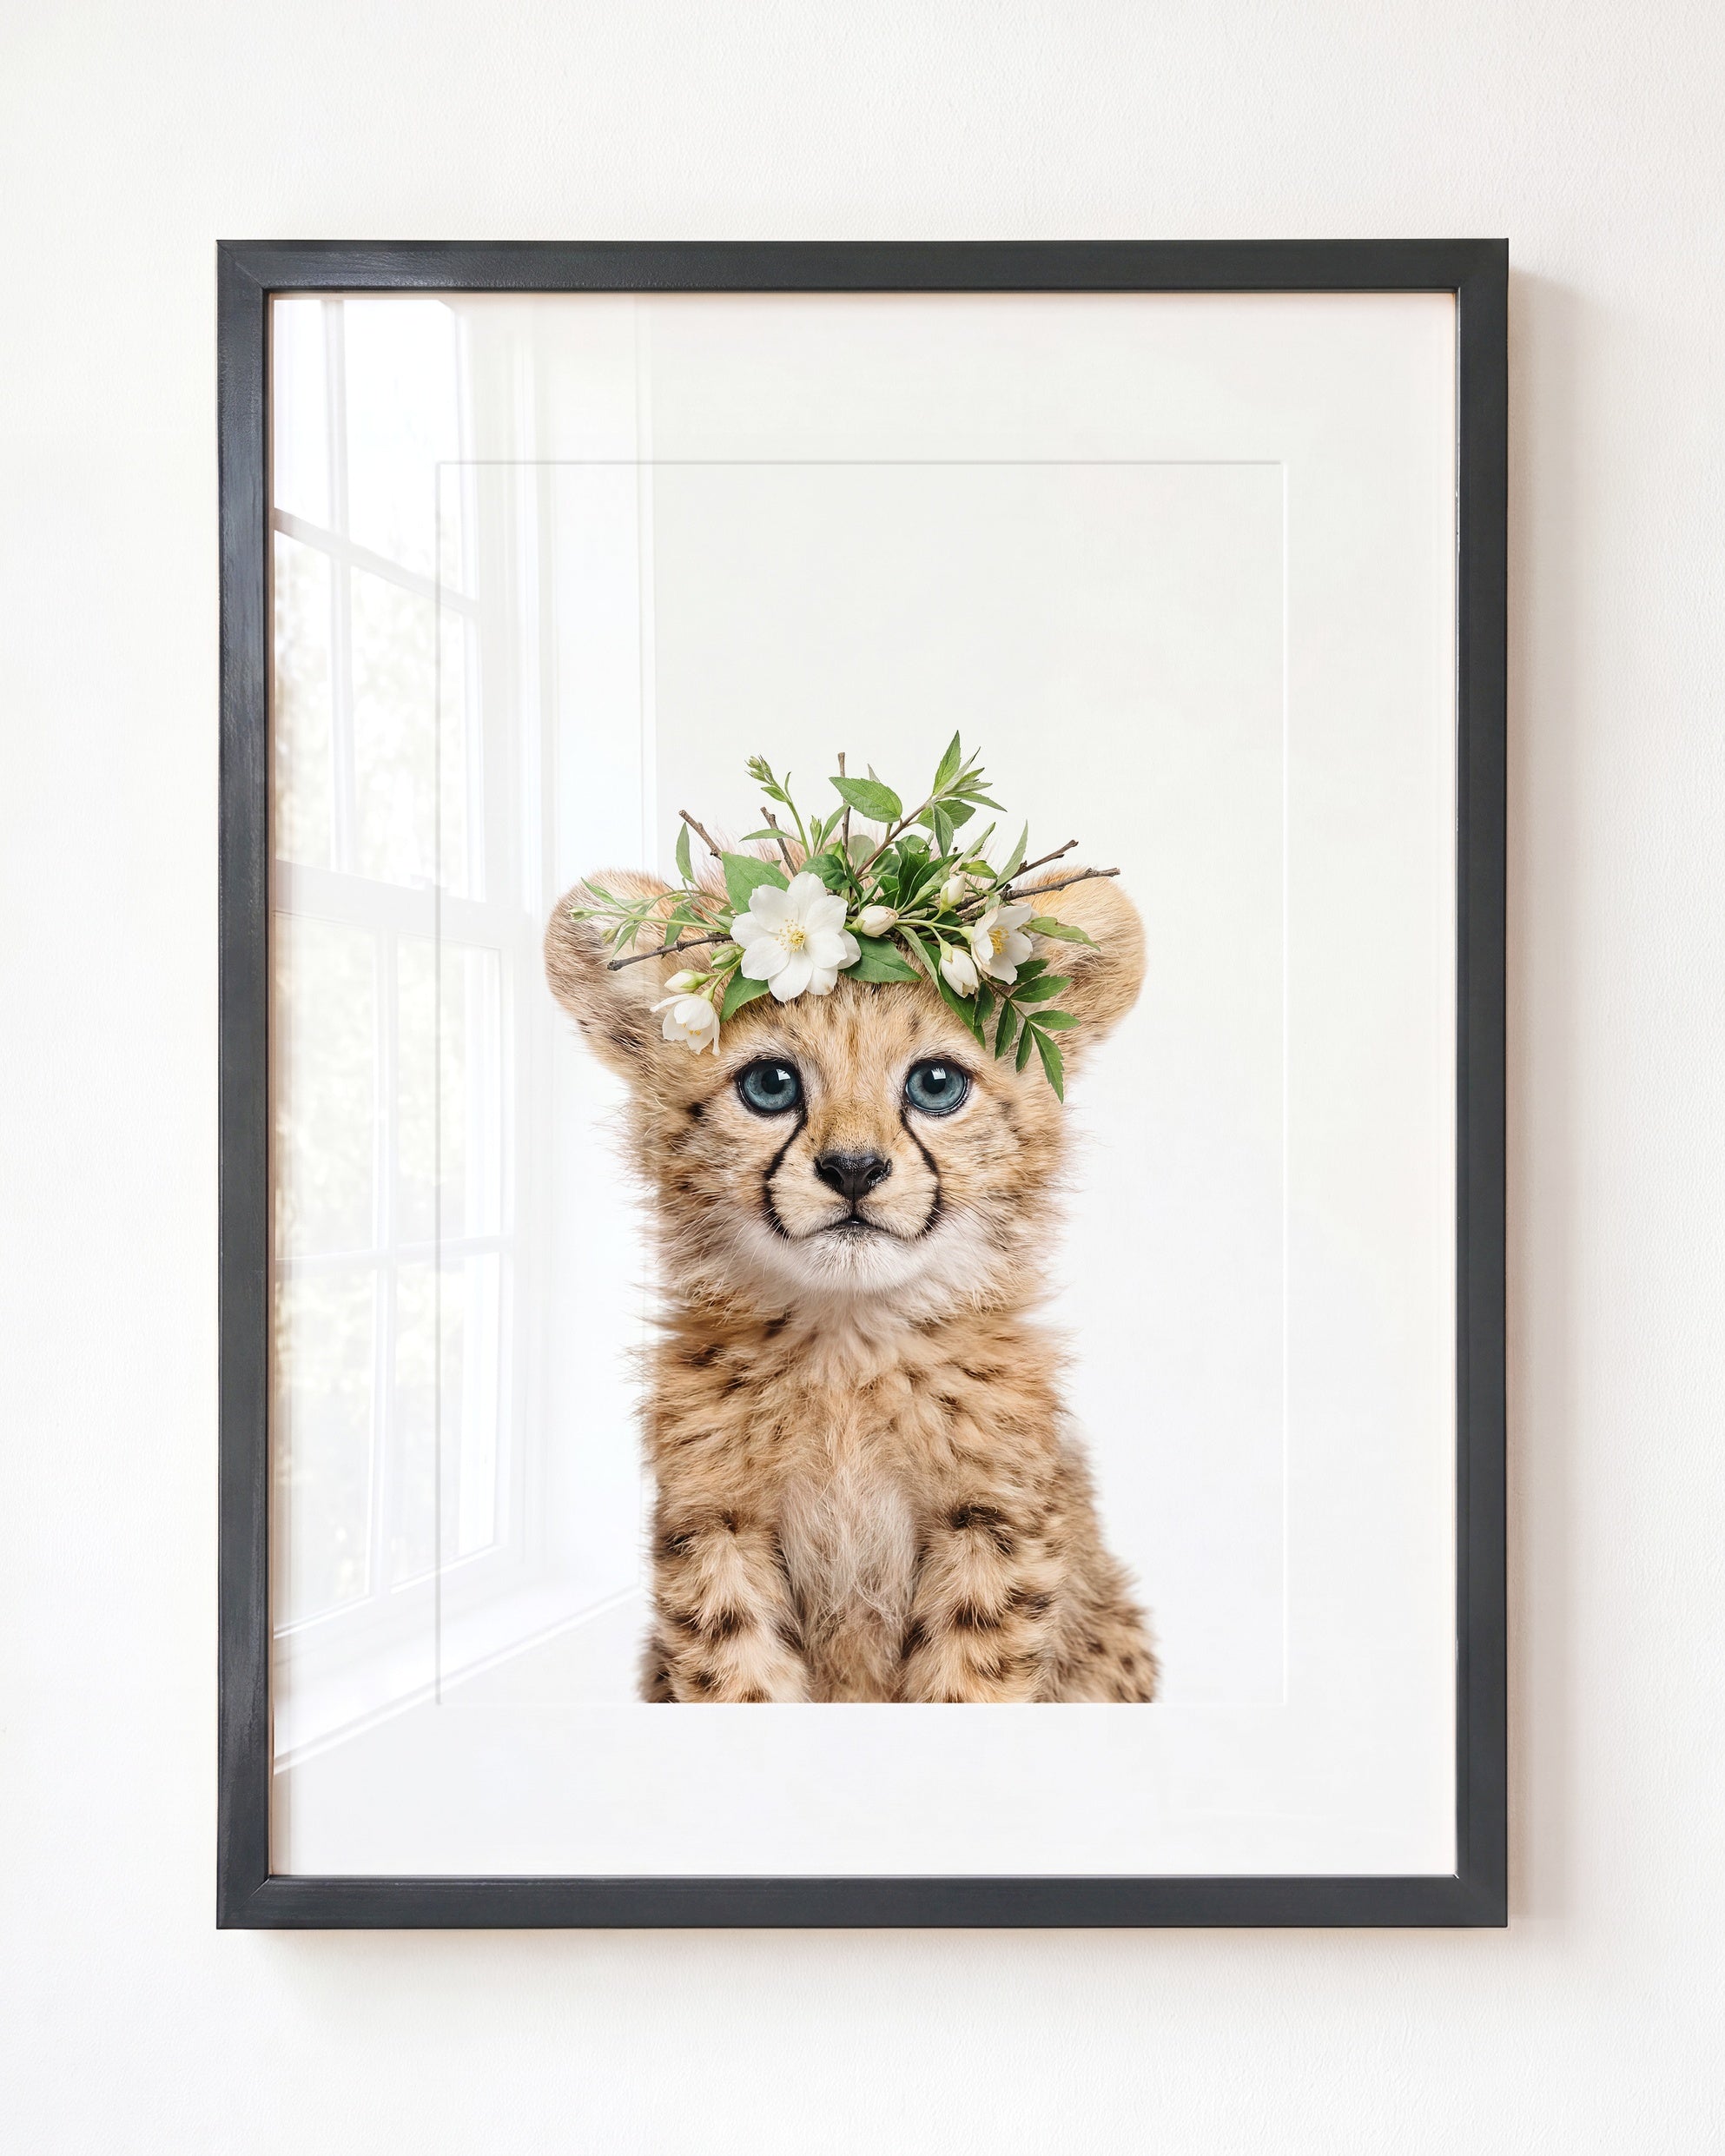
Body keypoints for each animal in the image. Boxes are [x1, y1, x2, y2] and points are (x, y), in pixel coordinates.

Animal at [543, 863, 1158, 1703]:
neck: (848, 1346)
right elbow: (739, 1678)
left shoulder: (992, 1526)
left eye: (936, 1084)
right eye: (771, 1084)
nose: (855, 1169)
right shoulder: (716, 1526)